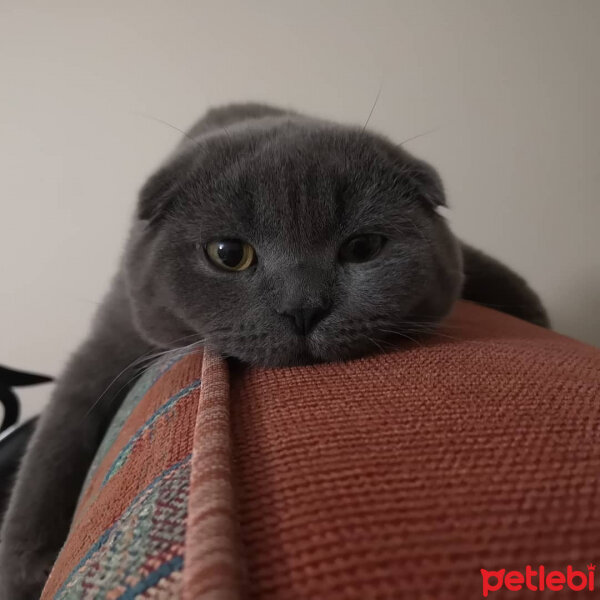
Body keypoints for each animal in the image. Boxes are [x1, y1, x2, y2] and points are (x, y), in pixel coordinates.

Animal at [0, 104, 548, 600]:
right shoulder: (112, 340)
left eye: (363, 247)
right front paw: (25, 570)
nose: (303, 307)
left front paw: (534, 312)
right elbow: (56, 441)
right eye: (228, 254)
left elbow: (484, 265)